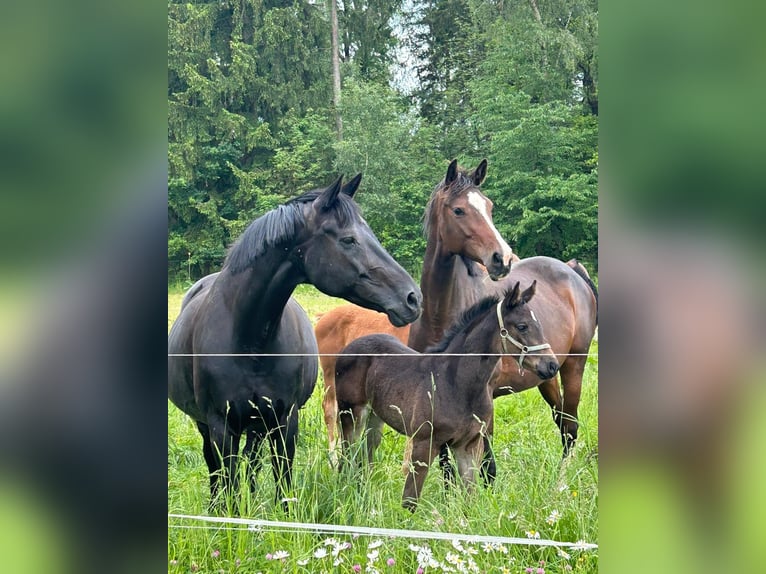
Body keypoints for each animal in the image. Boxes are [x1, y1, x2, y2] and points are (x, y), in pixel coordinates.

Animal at [336, 284, 560, 512]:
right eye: (522, 326)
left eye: (539, 325)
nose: (552, 365)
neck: (455, 382)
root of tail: (349, 347)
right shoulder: (423, 443)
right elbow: (410, 500)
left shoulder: (468, 446)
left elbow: (470, 498)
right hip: (351, 414)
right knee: (347, 457)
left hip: (375, 418)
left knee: (365, 457)